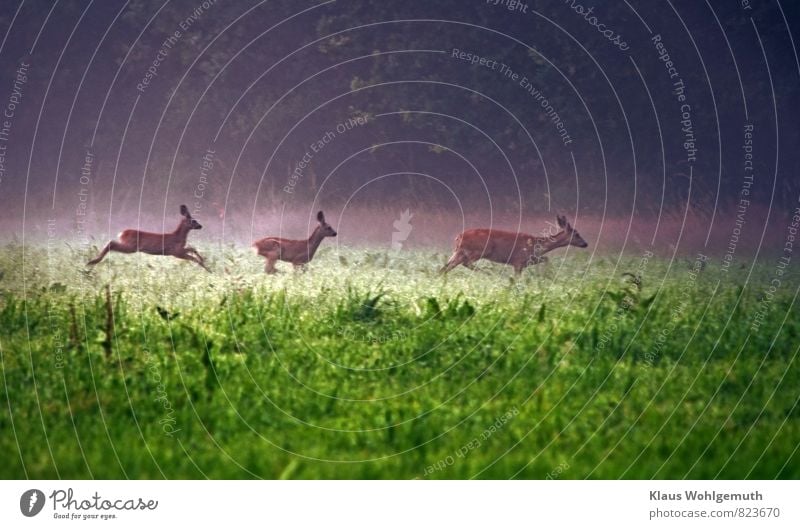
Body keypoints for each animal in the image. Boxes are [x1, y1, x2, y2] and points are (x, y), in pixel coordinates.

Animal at [438, 213, 588, 274]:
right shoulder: (518, 261)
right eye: (577, 234)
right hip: (480, 250)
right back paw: (489, 273)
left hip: (458, 252)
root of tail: (458, 237)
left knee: (445, 267)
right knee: (465, 263)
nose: (585, 244)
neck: (537, 245)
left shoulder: (527, 261)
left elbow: (546, 258)